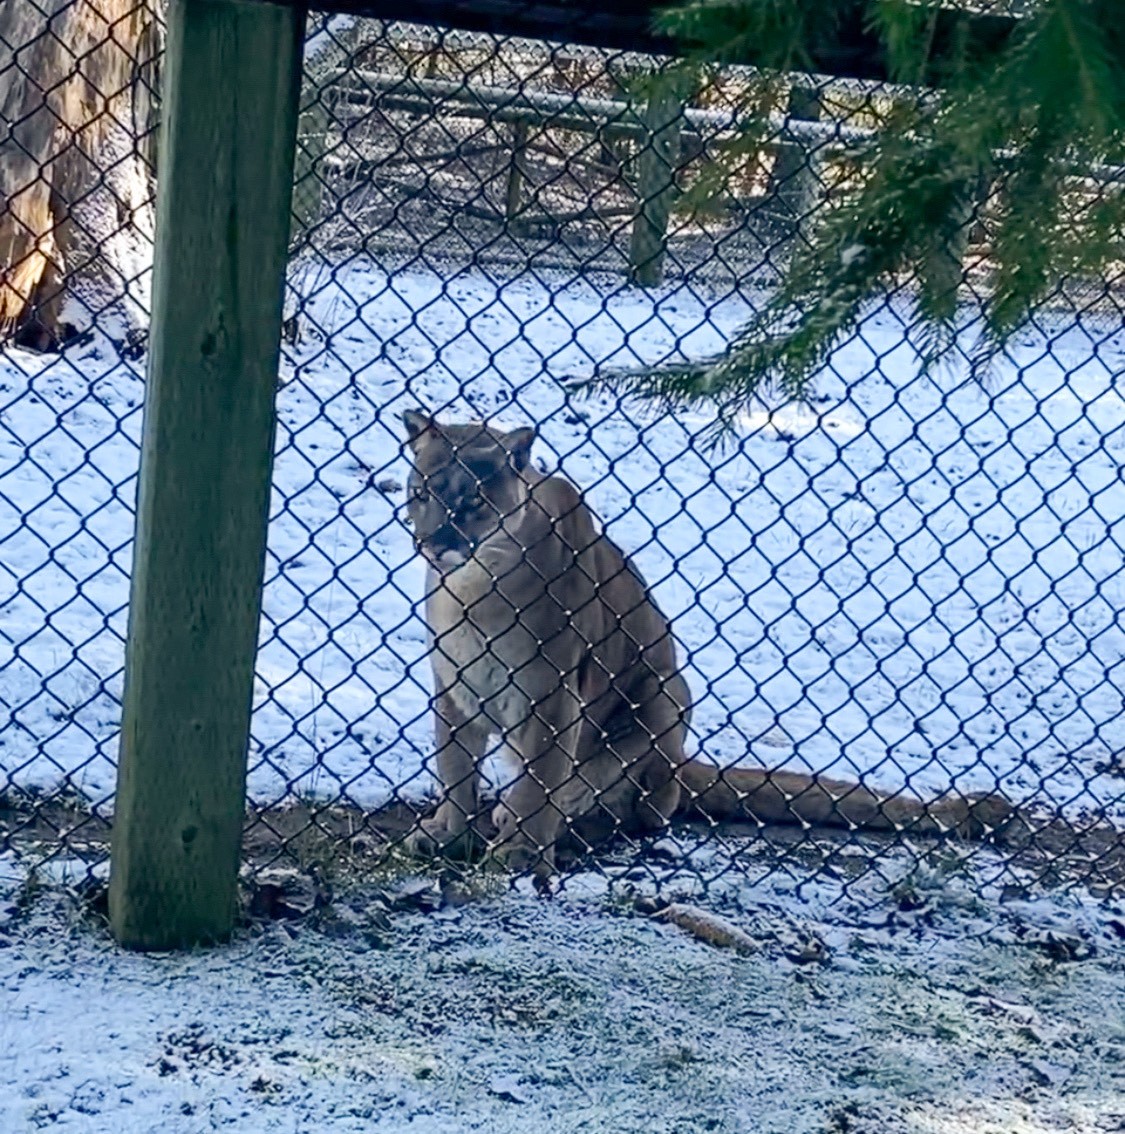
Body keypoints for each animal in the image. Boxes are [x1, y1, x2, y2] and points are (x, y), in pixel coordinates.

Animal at [401, 412, 1011, 879]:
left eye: (473, 502)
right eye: (421, 493)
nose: (433, 542)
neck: (472, 589)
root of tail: (681, 763)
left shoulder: (553, 698)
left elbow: (538, 783)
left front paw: (521, 853)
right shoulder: (452, 686)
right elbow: (455, 766)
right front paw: (447, 831)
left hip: (664, 694)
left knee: (642, 812)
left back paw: (565, 820)